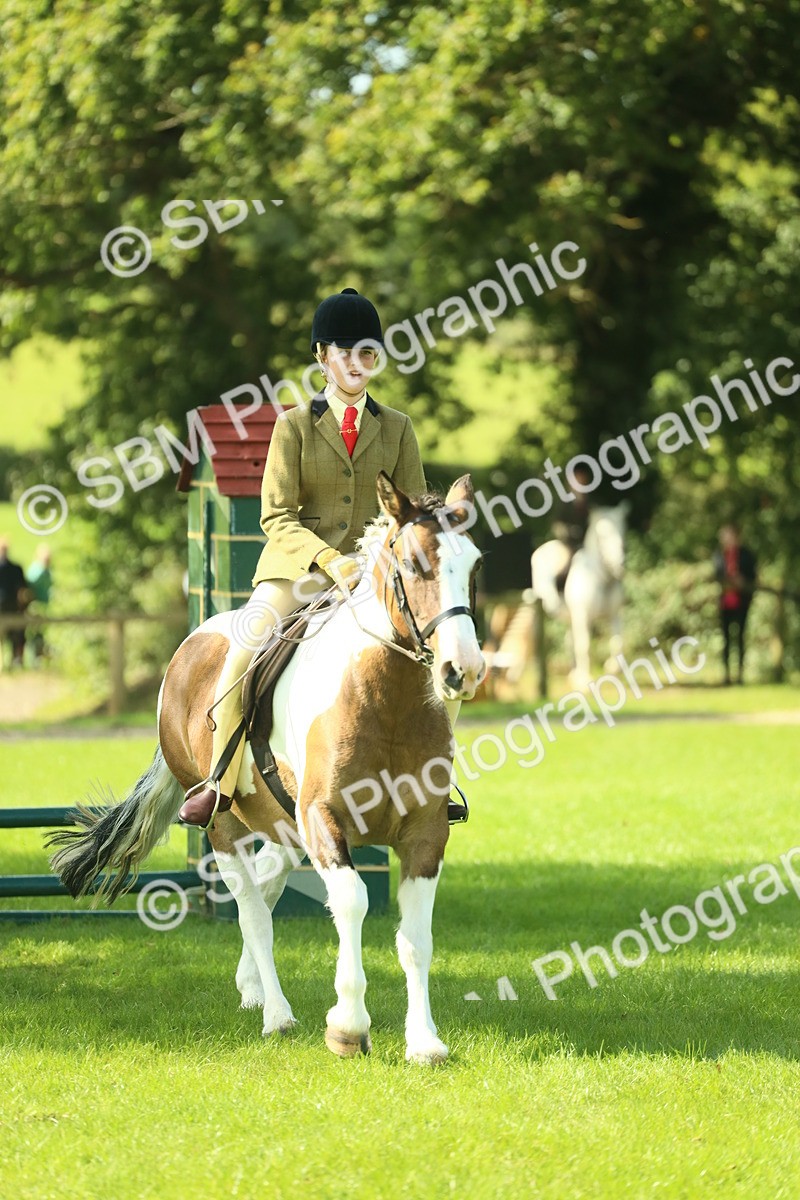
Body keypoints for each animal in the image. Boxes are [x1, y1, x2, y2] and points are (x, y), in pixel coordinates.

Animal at [48, 472, 486, 1065]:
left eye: (476, 566)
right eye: (415, 565)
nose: (464, 670)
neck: (387, 698)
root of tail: (192, 643)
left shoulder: (425, 831)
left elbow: (416, 938)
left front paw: (424, 1041)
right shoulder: (324, 817)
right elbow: (351, 902)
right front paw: (348, 1026)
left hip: (282, 824)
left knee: (267, 885)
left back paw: (252, 986)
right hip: (223, 821)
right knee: (252, 909)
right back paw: (277, 1015)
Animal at [530, 504, 627, 689]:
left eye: (622, 530)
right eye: (602, 535)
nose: (620, 564)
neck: (601, 578)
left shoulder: (614, 616)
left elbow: (617, 642)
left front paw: (612, 668)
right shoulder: (582, 616)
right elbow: (584, 645)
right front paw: (584, 680)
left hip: (570, 618)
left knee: (569, 642)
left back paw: (573, 673)